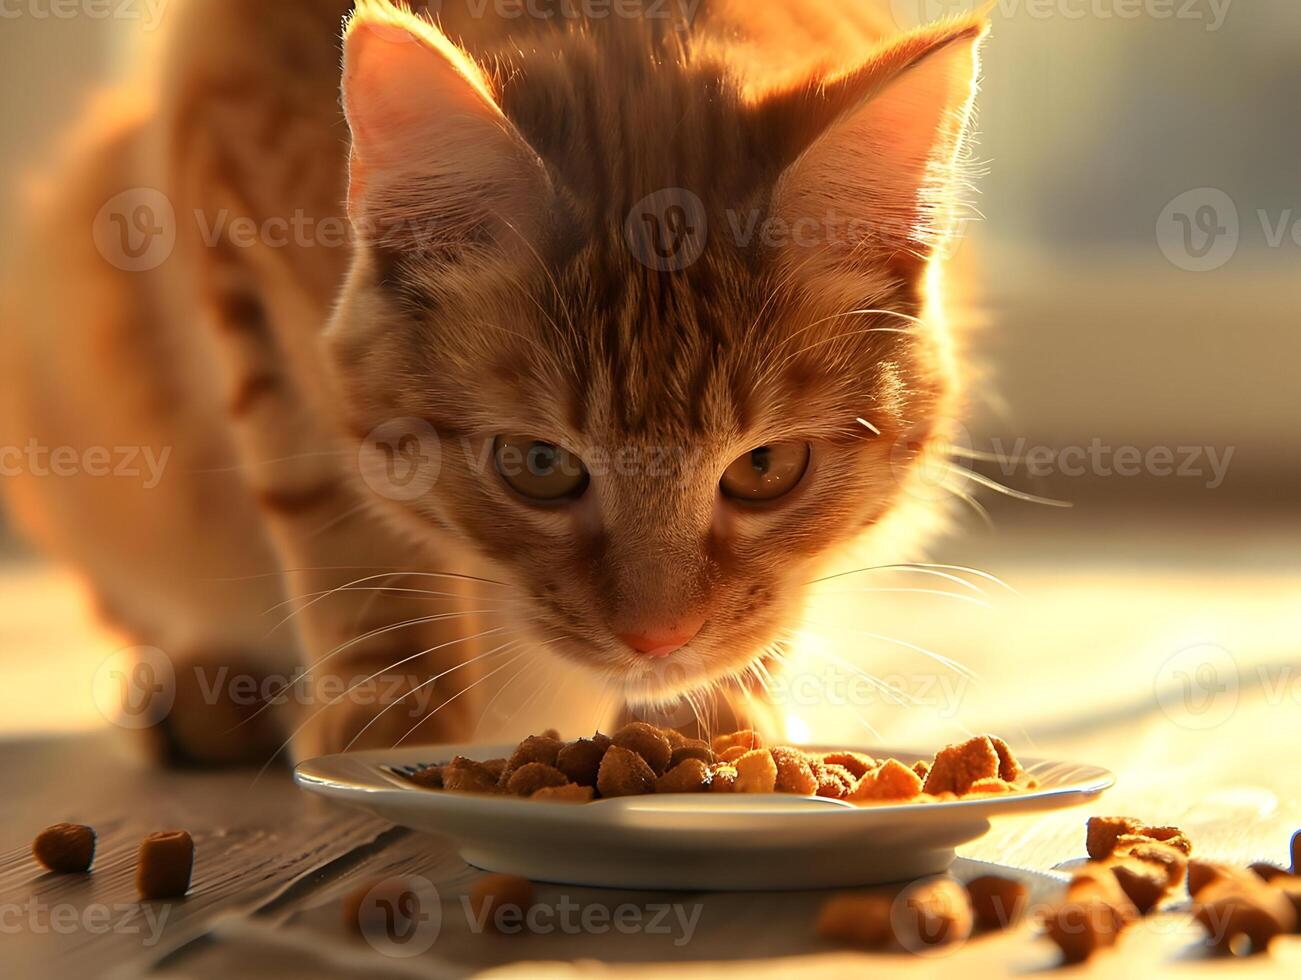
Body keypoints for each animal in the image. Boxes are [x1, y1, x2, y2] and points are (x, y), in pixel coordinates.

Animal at [0, 0, 983, 760]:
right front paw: (393, 710)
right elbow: (345, 521)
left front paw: (717, 719)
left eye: (766, 470)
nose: (656, 639)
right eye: (538, 467)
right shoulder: (233, 214)